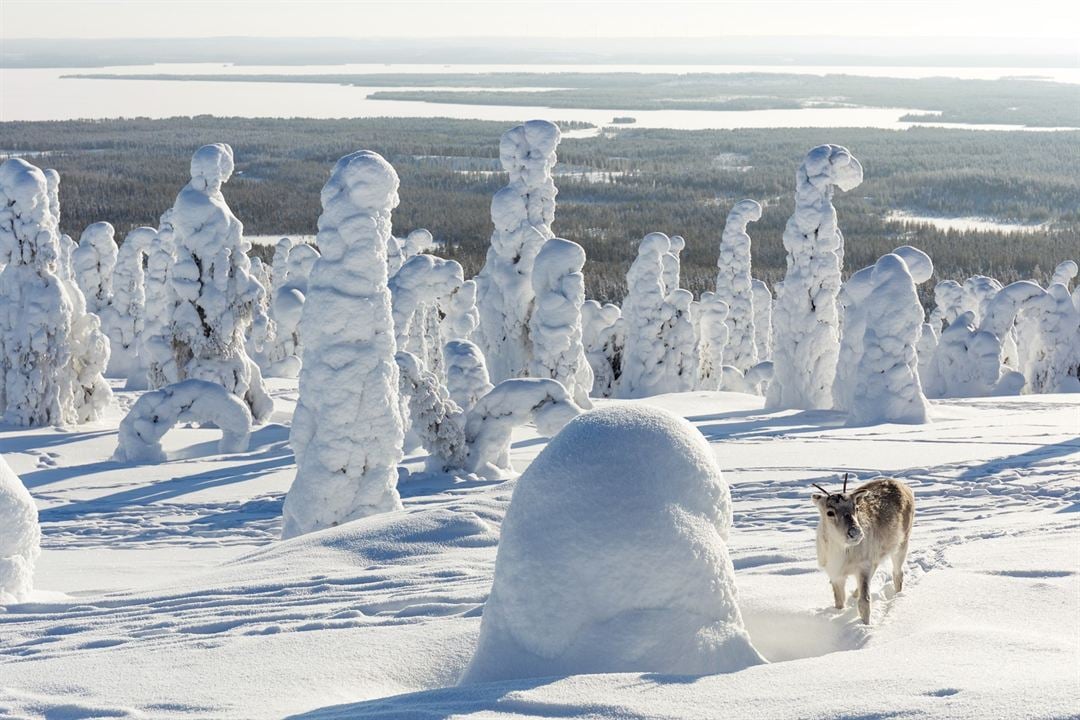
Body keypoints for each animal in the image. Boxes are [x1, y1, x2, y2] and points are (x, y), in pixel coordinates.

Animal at [812, 474, 911, 621]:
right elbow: (839, 602)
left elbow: (865, 602)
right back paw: (854, 594)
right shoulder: (835, 573)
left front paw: (866, 624)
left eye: (856, 508)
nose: (855, 532)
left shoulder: (863, 566)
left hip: (902, 544)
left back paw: (897, 597)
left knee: (898, 573)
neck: (842, 550)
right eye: (829, 512)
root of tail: (905, 487)